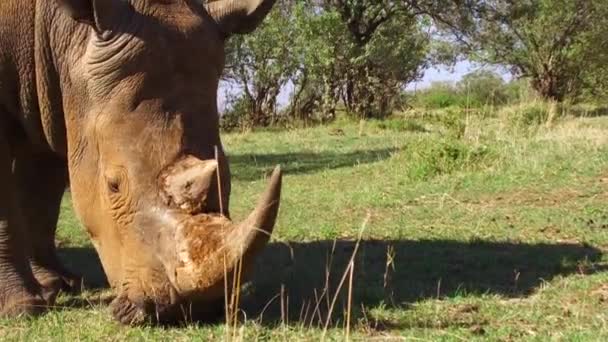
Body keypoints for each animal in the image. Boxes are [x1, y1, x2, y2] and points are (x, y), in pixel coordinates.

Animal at [0, 0, 280, 324]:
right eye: (113, 186)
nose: (189, 310)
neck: (64, 30)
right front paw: (23, 308)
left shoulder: (53, 101)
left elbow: (41, 196)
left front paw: (58, 283)